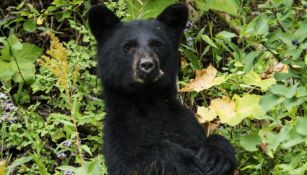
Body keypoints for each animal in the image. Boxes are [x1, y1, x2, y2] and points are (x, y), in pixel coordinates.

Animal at [88, 3, 237, 175]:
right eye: (128, 47)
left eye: (157, 44)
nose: (147, 65)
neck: (147, 101)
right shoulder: (119, 136)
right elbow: (135, 162)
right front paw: (185, 161)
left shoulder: (183, 124)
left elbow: (210, 138)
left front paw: (215, 157)